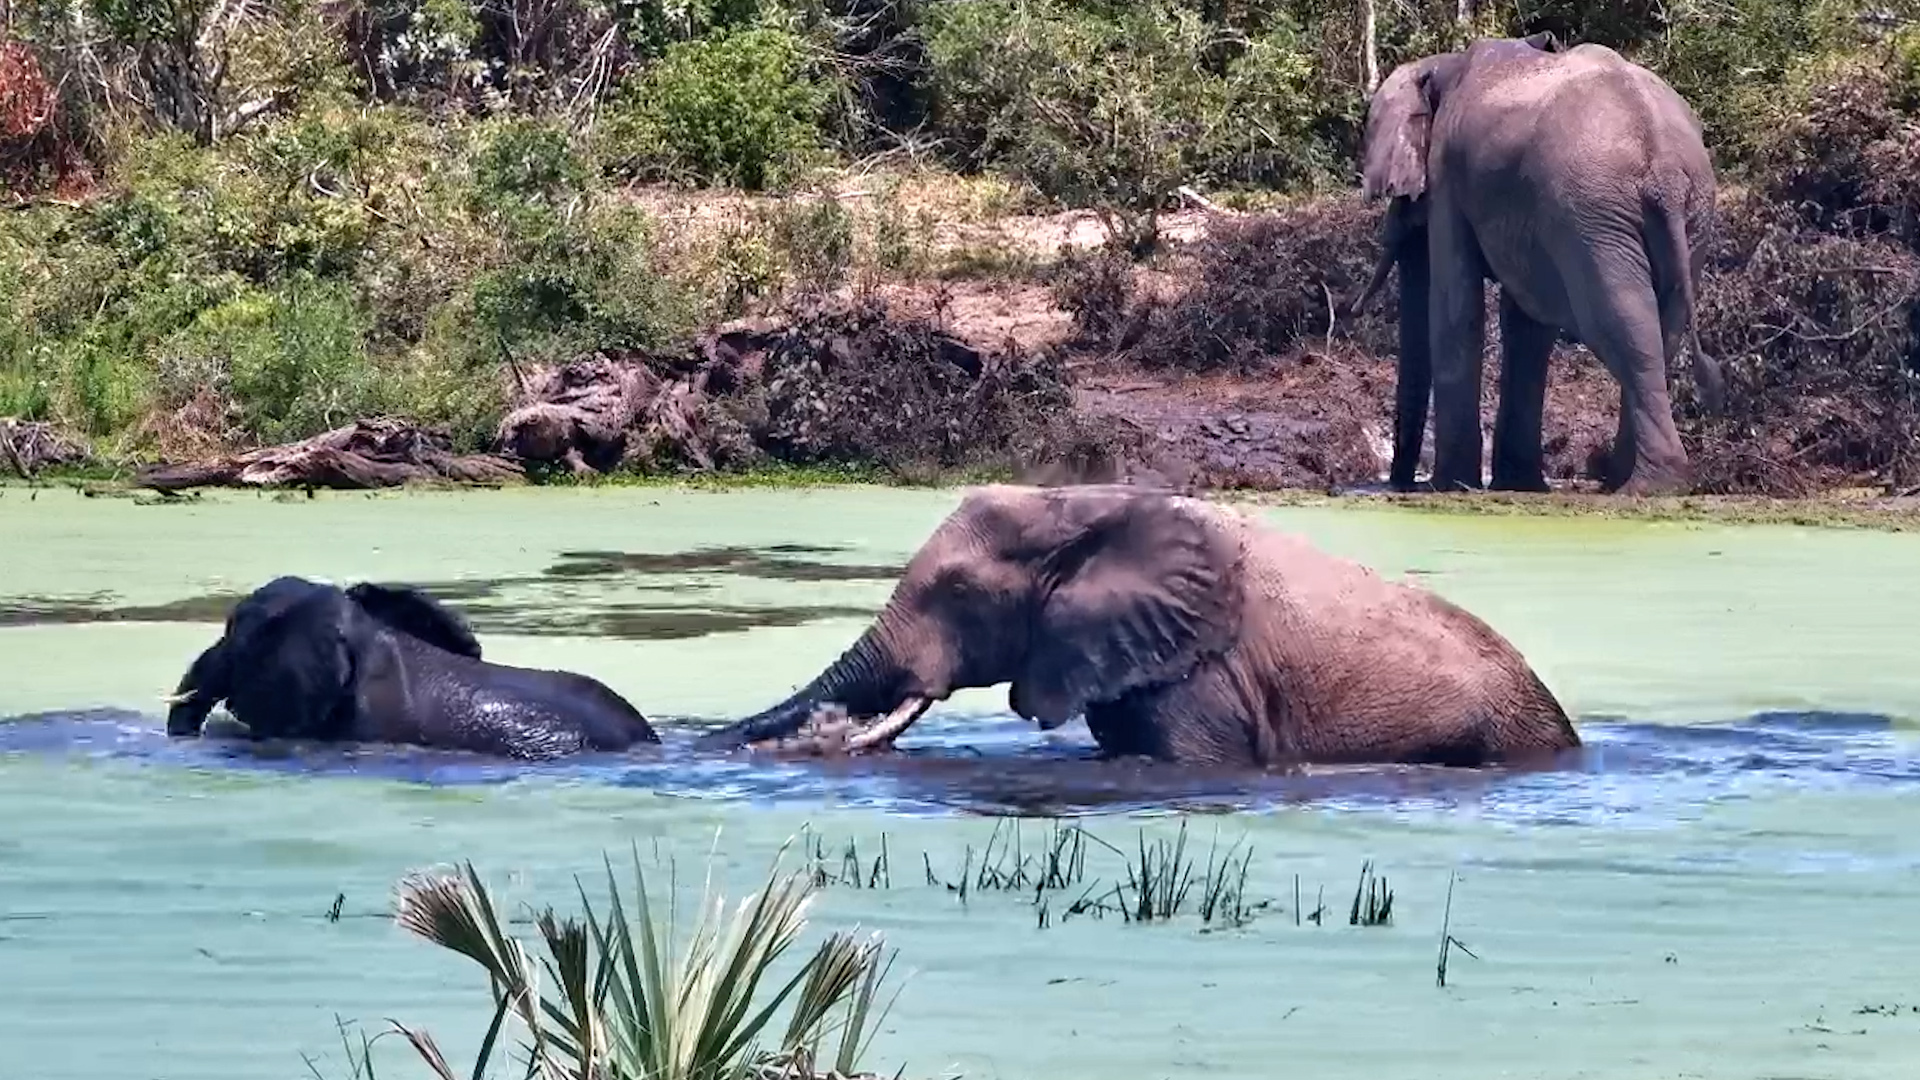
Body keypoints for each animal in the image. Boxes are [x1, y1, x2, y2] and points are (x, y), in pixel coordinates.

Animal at [1359, 33, 1726, 495]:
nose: (1400, 485)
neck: (1444, 64)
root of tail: (1666, 172)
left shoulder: (1448, 175)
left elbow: (1458, 308)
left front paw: (1452, 486)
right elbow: (1526, 326)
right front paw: (1516, 484)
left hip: (1592, 211)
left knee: (1618, 322)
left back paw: (1646, 485)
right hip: (1687, 214)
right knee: (1662, 330)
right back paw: (1626, 480)